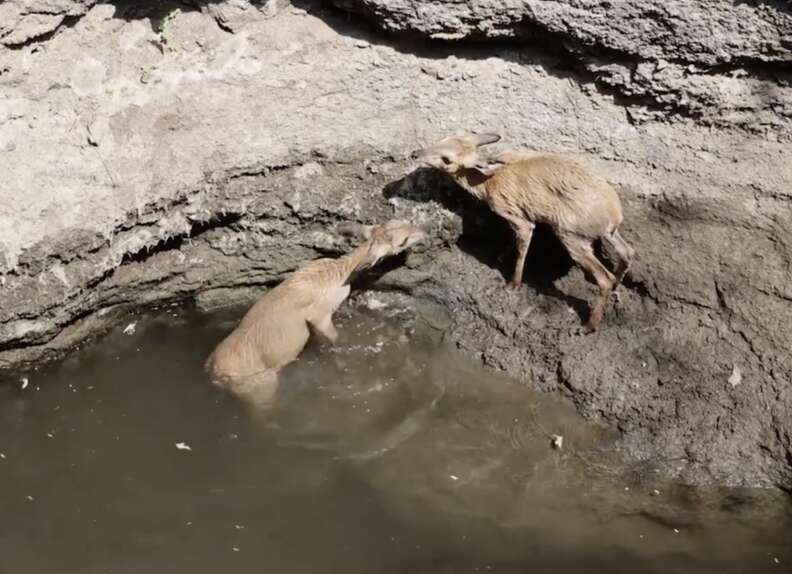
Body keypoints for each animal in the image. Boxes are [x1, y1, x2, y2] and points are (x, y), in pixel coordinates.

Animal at [206, 220, 426, 410]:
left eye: (402, 221)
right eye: (403, 240)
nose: (423, 231)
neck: (337, 274)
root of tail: (215, 373)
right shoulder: (319, 316)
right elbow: (334, 340)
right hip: (261, 390)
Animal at [418, 134, 636, 332]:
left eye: (447, 159)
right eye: (442, 139)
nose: (416, 153)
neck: (488, 181)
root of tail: (614, 213)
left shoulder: (520, 219)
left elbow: (522, 246)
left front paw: (513, 284)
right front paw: (501, 256)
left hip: (572, 236)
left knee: (604, 278)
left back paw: (588, 326)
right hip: (608, 234)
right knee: (627, 252)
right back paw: (616, 288)